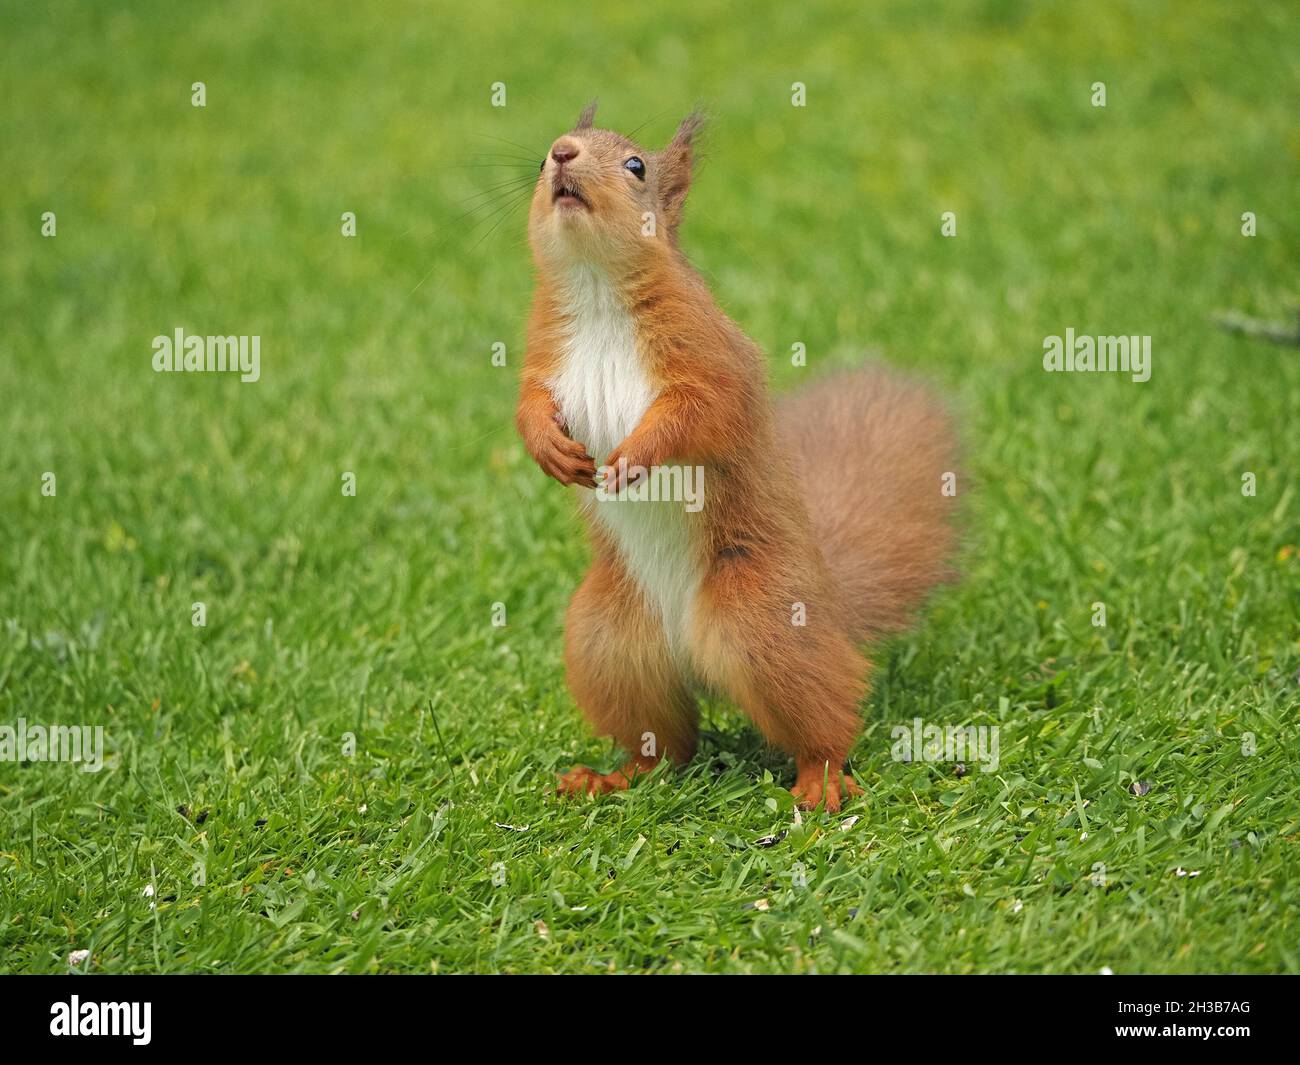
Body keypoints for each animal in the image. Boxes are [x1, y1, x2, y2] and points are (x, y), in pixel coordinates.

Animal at [515, 103, 959, 811]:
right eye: (539, 157)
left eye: (636, 165)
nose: (560, 154)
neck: (596, 290)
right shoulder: (542, 356)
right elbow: (527, 403)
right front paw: (547, 448)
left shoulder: (710, 355)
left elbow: (702, 413)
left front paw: (635, 456)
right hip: (607, 641)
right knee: (666, 745)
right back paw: (613, 777)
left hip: (761, 622)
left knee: (826, 713)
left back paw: (820, 781)